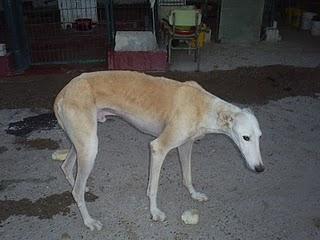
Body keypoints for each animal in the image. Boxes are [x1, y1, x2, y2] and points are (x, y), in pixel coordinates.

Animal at [53, 71, 264, 231]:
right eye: (245, 137)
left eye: (260, 137)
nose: (260, 169)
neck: (203, 105)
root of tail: (62, 93)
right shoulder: (158, 148)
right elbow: (153, 188)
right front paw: (154, 212)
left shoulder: (185, 145)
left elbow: (187, 176)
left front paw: (194, 194)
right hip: (89, 147)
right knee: (76, 191)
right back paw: (89, 221)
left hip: (81, 144)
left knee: (66, 167)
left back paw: (80, 186)